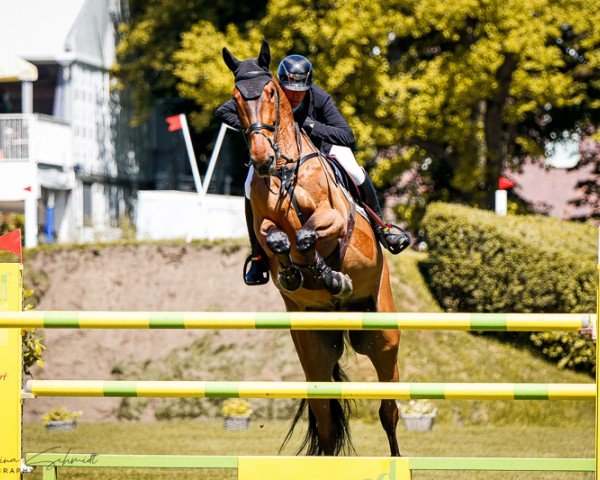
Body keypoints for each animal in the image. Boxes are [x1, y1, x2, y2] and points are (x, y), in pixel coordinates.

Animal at [223, 41, 400, 458]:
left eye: (271, 92)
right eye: (236, 99)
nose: (261, 159)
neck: (287, 169)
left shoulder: (333, 218)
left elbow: (307, 235)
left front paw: (332, 276)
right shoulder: (264, 225)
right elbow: (275, 238)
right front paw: (293, 272)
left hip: (383, 335)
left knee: (389, 409)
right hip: (314, 346)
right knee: (325, 419)